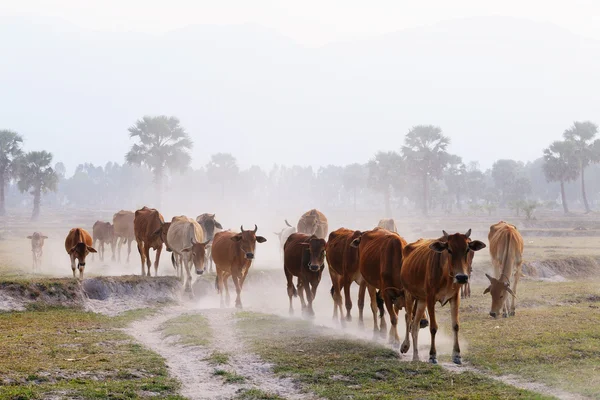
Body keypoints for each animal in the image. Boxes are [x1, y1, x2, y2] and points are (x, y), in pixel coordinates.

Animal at [398, 230, 488, 364]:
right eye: (449, 249)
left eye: (467, 249)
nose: (462, 277)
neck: (446, 275)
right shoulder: (431, 299)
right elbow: (433, 327)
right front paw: (432, 355)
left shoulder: (455, 298)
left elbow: (455, 325)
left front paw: (457, 355)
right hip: (409, 294)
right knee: (408, 318)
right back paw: (405, 346)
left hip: (421, 300)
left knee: (415, 326)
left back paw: (416, 357)